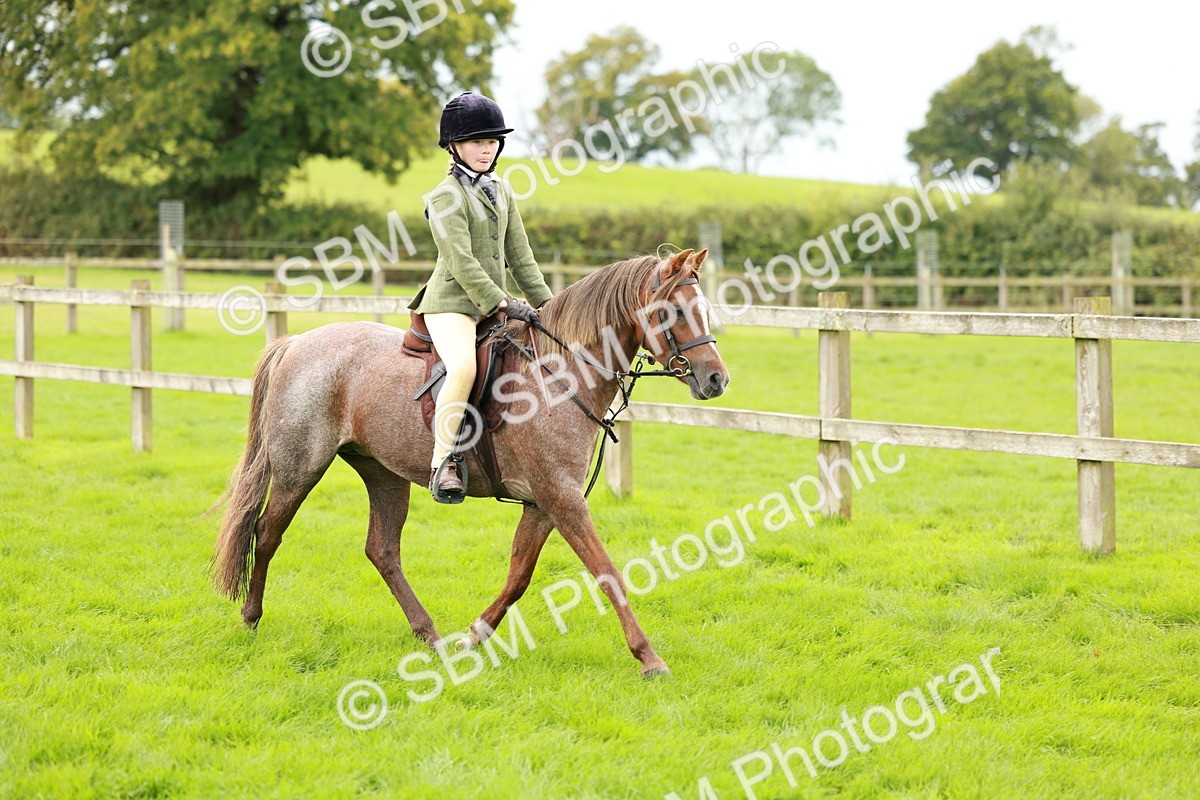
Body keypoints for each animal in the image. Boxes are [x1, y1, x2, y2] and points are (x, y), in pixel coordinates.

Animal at [211, 247, 730, 677]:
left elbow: (519, 576)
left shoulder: (544, 503)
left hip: (384, 474)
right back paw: (251, 619)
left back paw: (432, 637)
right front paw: (649, 658)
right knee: (267, 533)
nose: (716, 379)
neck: (558, 375)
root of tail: (297, 343)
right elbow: (607, 572)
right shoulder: (561, 499)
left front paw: (473, 638)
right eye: (673, 312)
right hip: (300, 468)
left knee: (382, 550)